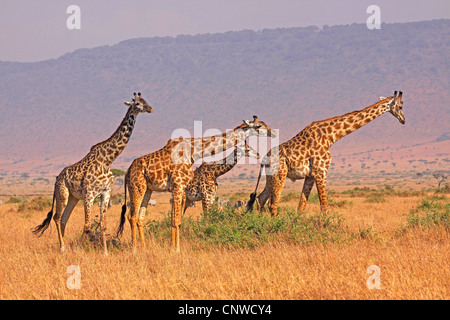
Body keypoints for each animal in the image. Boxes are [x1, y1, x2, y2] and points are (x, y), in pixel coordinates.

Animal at [32, 92, 154, 255]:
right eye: (138, 103)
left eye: (145, 100)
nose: (150, 108)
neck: (107, 160)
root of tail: (57, 178)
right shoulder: (89, 194)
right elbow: (88, 225)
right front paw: (77, 249)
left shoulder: (105, 193)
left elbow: (102, 224)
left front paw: (105, 252)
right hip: (62, 193)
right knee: (57, 218)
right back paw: (63, 248)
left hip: (73, 198)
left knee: (64, 219)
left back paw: (61, 246)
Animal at [118, 116, 276, 254]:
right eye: (258, 126)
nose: (274, 133)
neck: (194, 152)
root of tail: (127, 172)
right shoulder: (179, 186)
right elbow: (176, 220)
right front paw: (175, 250)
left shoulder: (182, 189)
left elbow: (176, 219)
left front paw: (173, 247)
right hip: (136, 187)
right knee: (132, 216)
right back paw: (134, 249)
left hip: (148, 190)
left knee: (140, 218)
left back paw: (144, 248)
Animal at [248, 91, 406, 216]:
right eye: (400, 106)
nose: (403, 120)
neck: (331, 137)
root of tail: (264, 159)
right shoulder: (321, 171)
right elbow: (324, 207)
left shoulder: (310, 175)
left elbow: (301, 206)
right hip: (280, 174)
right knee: (272, 204)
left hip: (271, 177)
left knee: (261, 199)